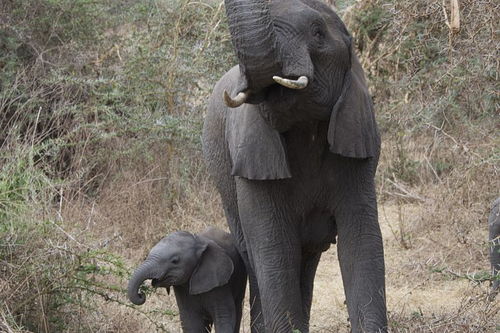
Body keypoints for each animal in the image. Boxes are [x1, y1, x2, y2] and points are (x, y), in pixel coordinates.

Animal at [202, 1, 386, 330]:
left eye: (317, 33)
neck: (304, 124)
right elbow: (275, 249)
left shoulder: (358, 151)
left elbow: (360, 242)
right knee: (254, 255)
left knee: (308, 255)